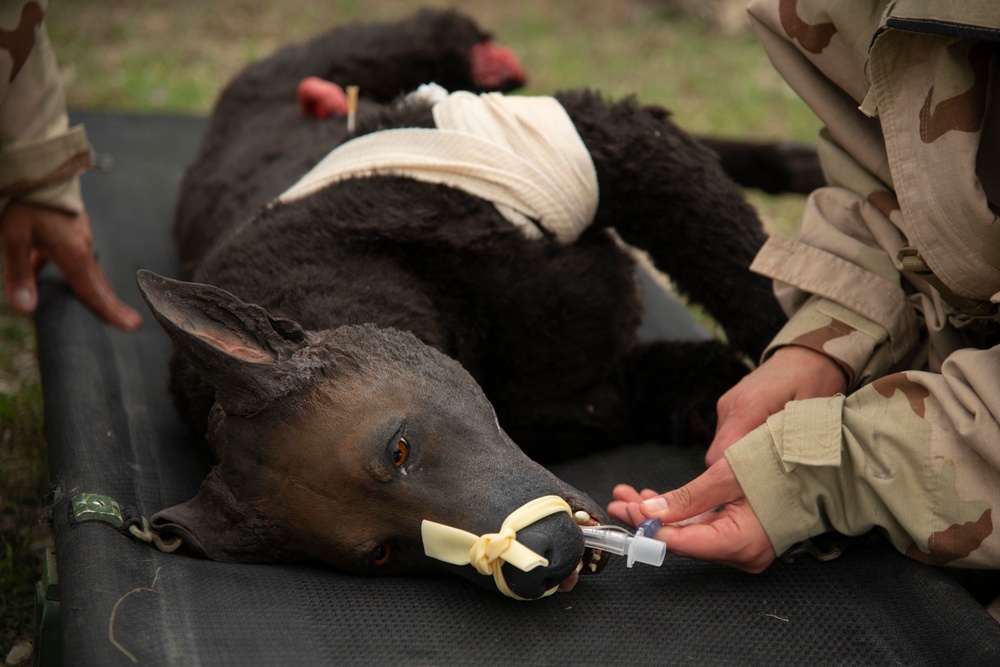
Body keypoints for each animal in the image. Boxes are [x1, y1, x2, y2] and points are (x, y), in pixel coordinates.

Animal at [137, 7, 788, 600]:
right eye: (381, 554)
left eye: (399, 449)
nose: (542, 567)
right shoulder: (598, 396)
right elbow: (695, 378)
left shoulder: (611, 149)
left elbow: (753, 284)